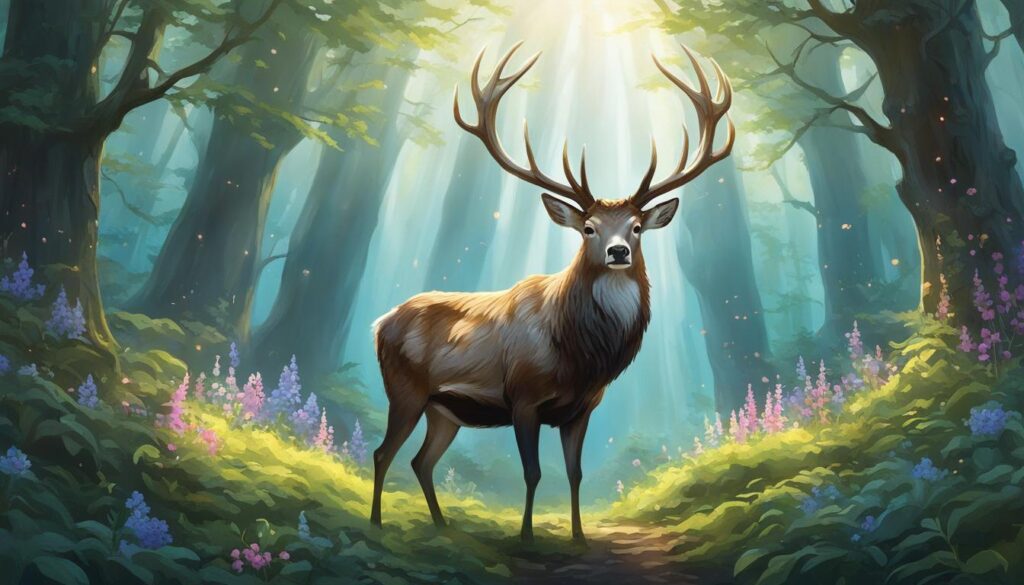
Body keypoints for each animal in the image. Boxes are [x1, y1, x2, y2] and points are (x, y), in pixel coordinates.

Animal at [370, 41, 734, 543]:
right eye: (588, 227)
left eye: (637, 227)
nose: (618, 251)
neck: (580, 356)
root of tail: (379, 323)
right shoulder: (523, 397)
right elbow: (533, 472)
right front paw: (526, 536)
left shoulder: (582, 408)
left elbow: (574, 473)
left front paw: (579, 536)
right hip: (404, 389)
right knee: (383, 453)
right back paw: (376, 524)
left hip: (444, 410)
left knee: (421, 461)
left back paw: (443, 527)